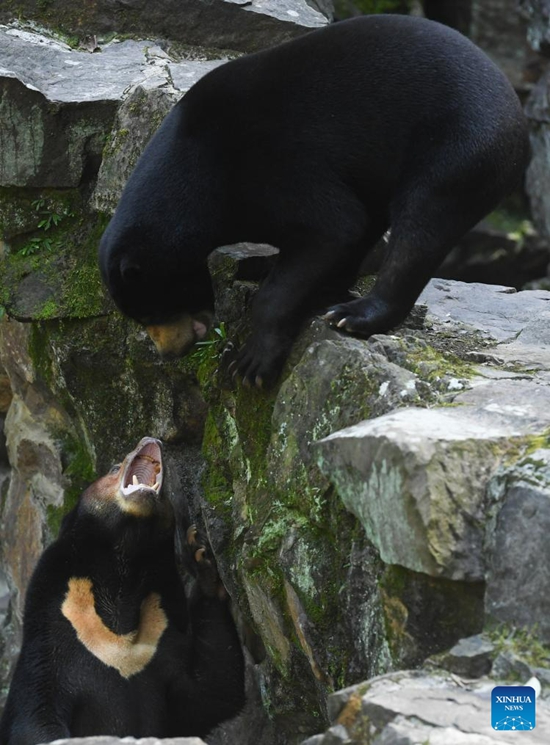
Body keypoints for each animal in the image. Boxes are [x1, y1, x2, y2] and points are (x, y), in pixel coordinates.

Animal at [0, 436, 246, 744]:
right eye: (114, 467)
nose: (150, 439)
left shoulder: (159, 642)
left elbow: (211, 694)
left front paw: (202, 560)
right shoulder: (52, 641)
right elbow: (33, 713)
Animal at [99, 14, 532, 386]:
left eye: (151, 310)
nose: (169, 352)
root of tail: (519, 122)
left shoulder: (271, 167)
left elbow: (334, 226)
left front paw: (251, 363)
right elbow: (346, 230)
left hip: (460, 148)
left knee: (420, 227)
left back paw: (353, 315)